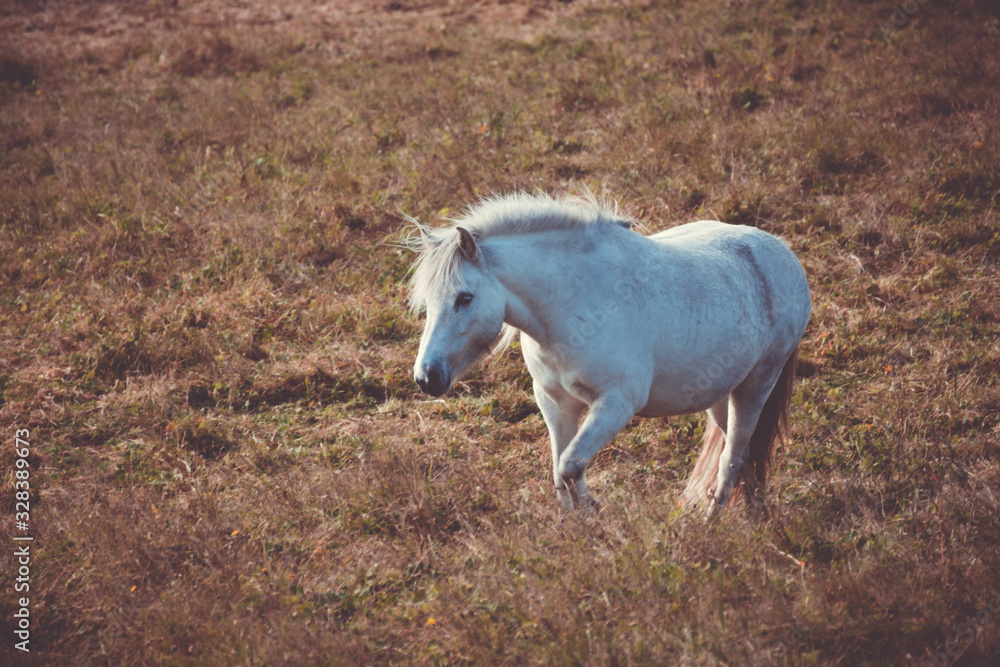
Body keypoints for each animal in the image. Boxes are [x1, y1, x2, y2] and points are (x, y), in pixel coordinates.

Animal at [406, 192, 811, 515]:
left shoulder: (617, 403)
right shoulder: (555, 402)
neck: (575, 303)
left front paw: (594, 512)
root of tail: (783, 254)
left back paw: (710, 525)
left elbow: (570, 466)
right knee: (744, 457)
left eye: (464, 297)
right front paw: (576, 524)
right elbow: (560, 472)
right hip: (721, 395)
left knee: (733, 458)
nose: (427, 377)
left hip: (755, 388)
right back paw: (752, 517)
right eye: (428, 301)